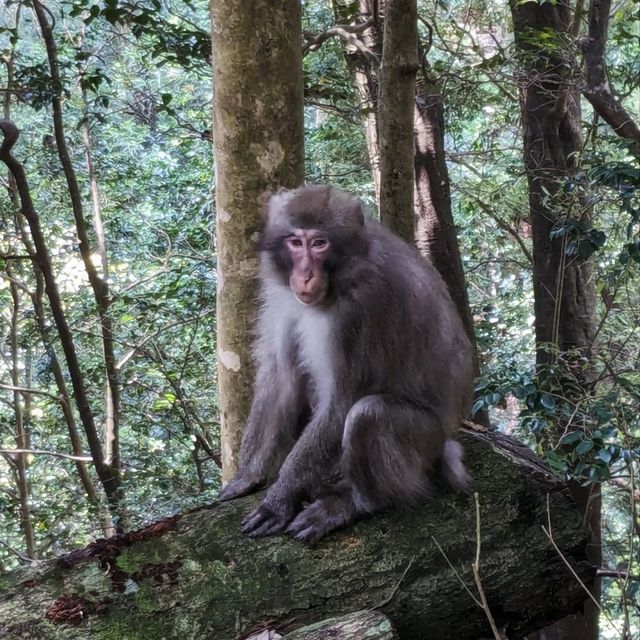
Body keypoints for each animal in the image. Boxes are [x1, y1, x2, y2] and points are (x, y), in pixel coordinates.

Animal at [218, 182, 472, 544]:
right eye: (295, 242)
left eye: (319, 243)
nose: (305, 275)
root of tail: (447, 439)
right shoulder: (283, 295)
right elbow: (281, 375)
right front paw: (247, 476)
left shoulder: (361, 309)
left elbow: (341, 402)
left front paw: (279, 499)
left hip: (425, 443)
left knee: (369, 415)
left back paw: (353, 503)